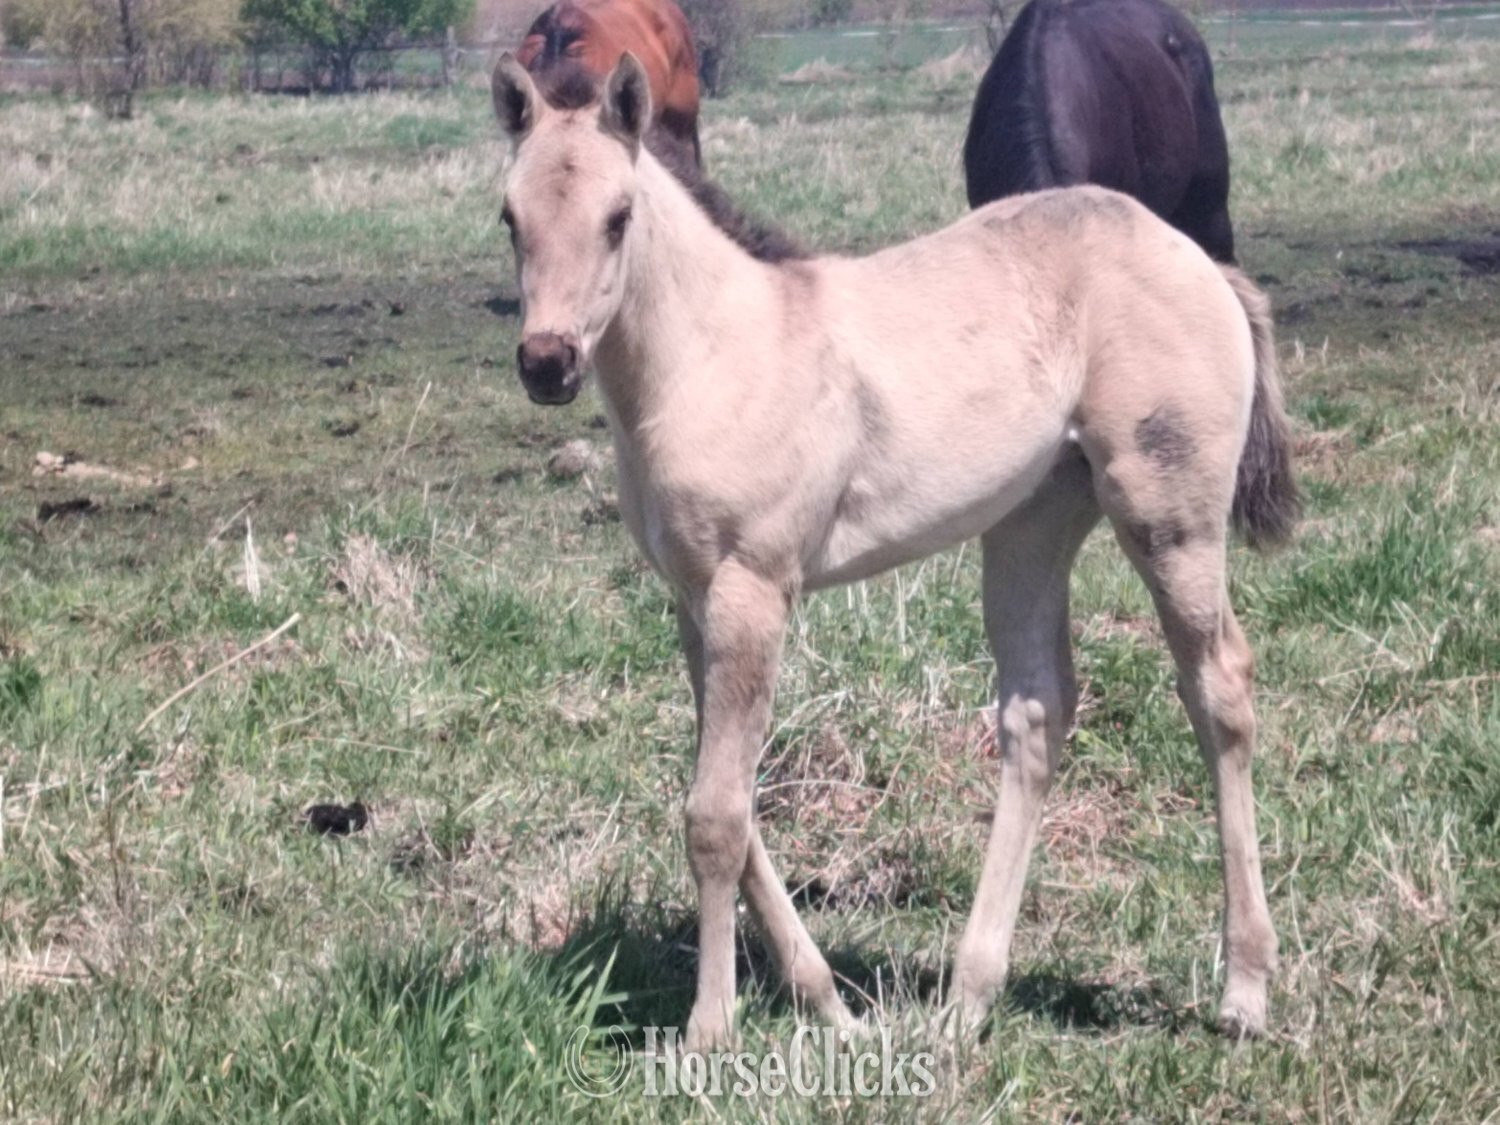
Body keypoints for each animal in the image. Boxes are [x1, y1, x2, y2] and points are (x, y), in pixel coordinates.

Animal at [489, 52, 1298, 1050]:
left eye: (618, 216)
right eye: (510, 216)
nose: (548, 362)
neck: (711, 355)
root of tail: (1201, 262)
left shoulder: (753, 589)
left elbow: (715, 815)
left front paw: (710, 1029)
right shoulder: (693, 599)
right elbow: (731, 801)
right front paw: (827, 1000)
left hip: (1170, 516)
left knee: (1219, 691)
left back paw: (1244, 990)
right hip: (1031, 522)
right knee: (1037, 712)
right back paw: (969, 995)